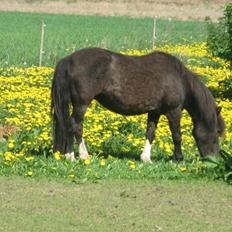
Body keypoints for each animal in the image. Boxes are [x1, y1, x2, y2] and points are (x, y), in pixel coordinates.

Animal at [51, 47, 225, 161]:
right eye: (217, 132)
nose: (214, 160)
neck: (179, 79)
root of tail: (69, 59)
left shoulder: (154, 111)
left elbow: (150, 133)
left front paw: (146, 158)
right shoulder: (173, 111)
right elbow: (177, 135)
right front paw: (178, 158)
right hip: (81, 104)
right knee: (74, 126)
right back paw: (75, 156)